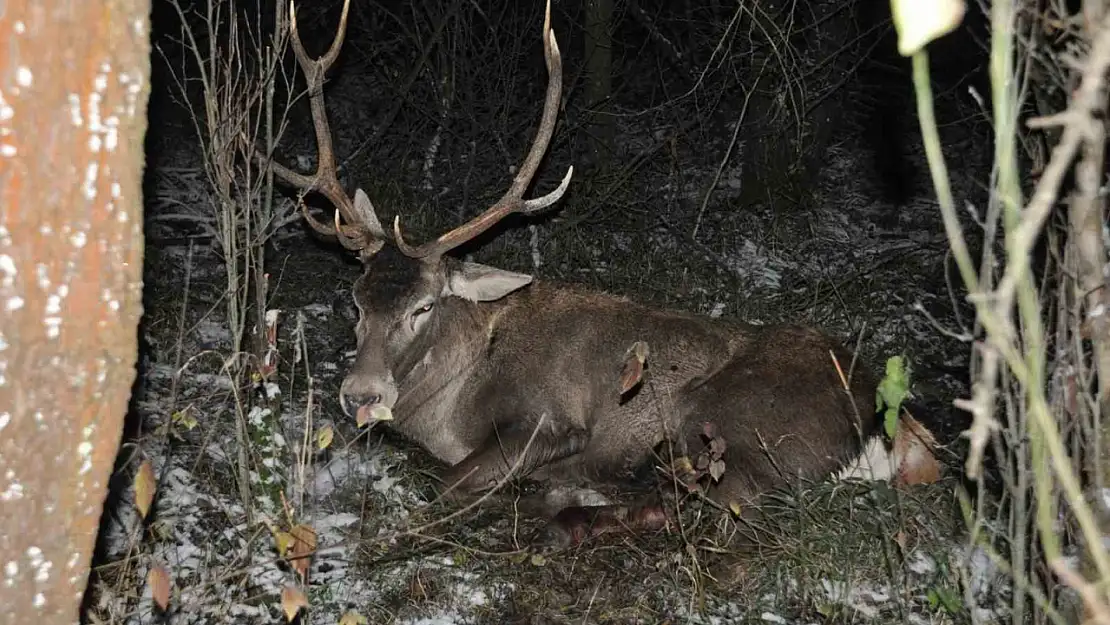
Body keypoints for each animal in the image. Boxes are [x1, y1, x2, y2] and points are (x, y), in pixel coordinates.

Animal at [270, 0, 901, 548]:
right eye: (357, 300)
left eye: (424, 305)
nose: (361, 394)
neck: (449, 403)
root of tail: (875, 416)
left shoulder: (548, 421)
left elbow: (449, 483)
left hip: (724, 419)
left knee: (715, 505)